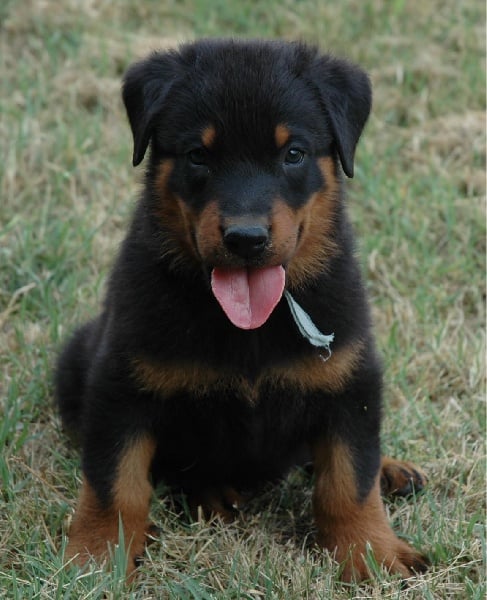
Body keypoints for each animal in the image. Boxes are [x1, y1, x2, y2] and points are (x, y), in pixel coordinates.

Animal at [57, 37, 428, 580]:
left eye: (293, 154)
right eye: (198, 155)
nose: (246, 238)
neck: (250, 323)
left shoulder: (351, 380)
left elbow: (349, 478)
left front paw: (370, 553)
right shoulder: (119, 384)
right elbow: (113, 481)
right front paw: (97, 555)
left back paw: (391, 470)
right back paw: (211, 494)